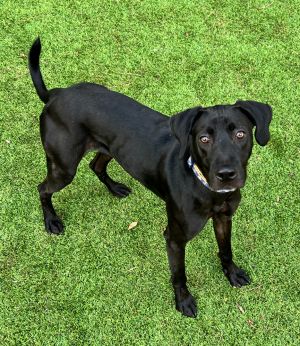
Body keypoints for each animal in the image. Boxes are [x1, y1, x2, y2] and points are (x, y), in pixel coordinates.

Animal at [28, 37, 272, 316]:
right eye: (203, 139)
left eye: (240, 134)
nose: (226, 174)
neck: (203, 186)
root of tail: (56, 94)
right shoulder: (174, 238)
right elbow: (179, 274)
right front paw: (183, 301)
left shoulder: (224, 219)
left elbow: (226, 250)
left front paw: (232, 273)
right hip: (64, 167)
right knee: (43, 188)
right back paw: (51, 221)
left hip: (111, 149)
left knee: (96, 165)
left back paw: (115, 188)